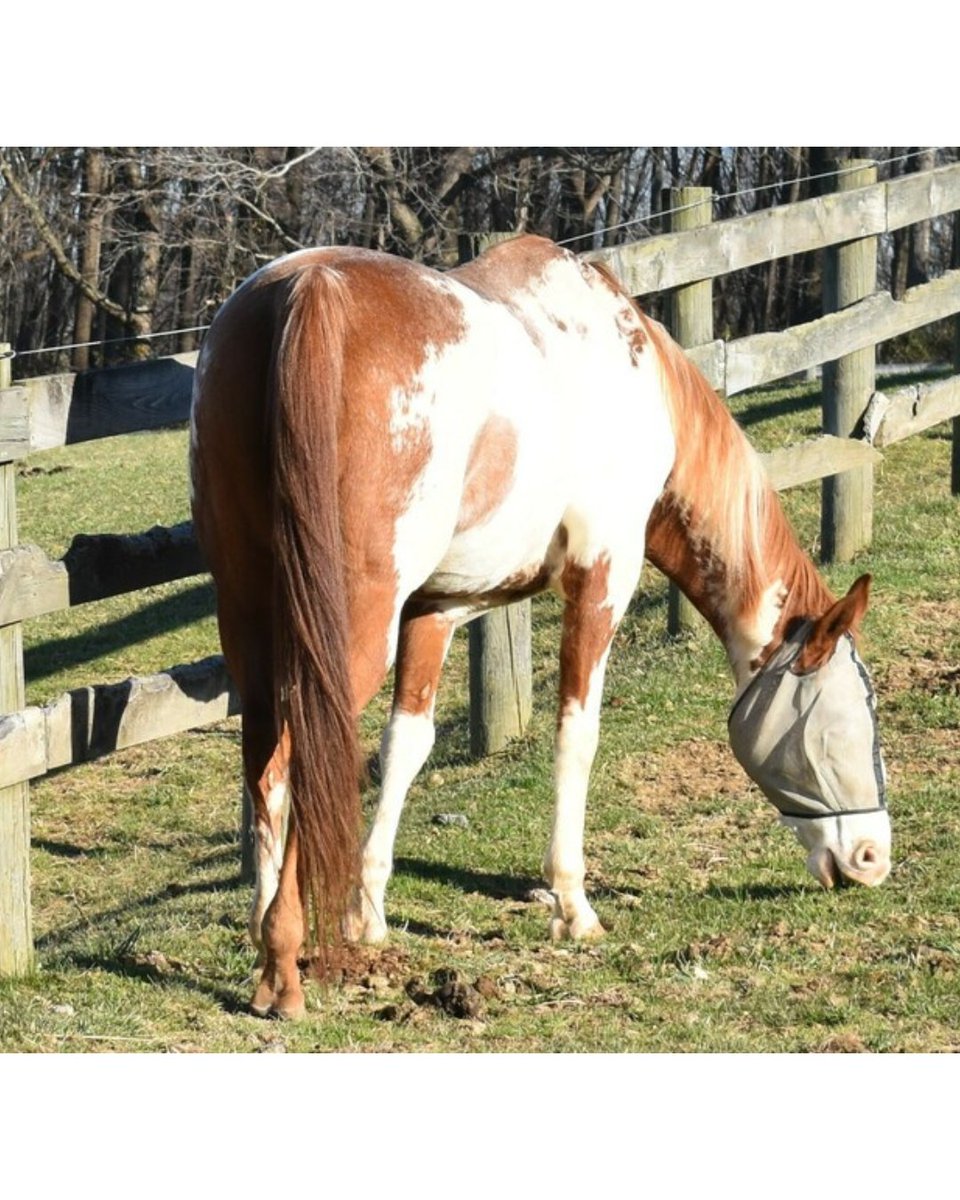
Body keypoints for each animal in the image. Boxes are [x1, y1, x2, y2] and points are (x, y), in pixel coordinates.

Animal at [189, 234, 890, 1020]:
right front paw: (572, 905)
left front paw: (366, 915)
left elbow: (406, 746)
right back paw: (283, 967)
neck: (630, 364)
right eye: (845, 721)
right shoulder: (601, 579)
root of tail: (306, 290)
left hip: (250, 617)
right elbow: (575, 736)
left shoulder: (436, 611)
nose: (872, 860)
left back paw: (265, 935)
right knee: (307, 753)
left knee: (267, 761)